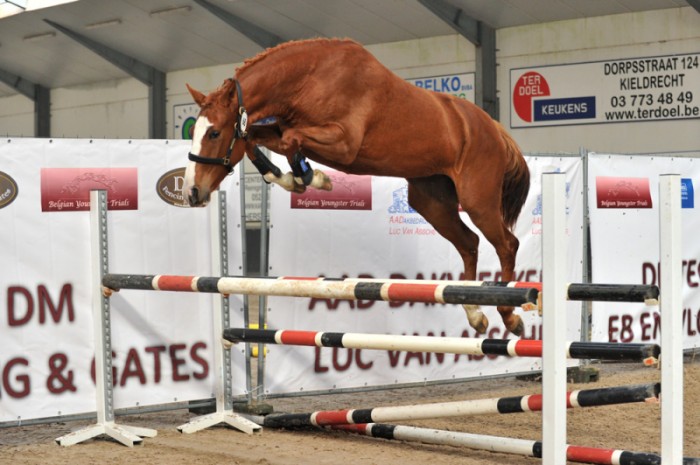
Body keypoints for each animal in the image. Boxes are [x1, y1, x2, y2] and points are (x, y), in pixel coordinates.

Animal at [183, 36, 528, 334]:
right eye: (195, 131)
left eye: (214, 133)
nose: (192, 192)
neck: (309, 80)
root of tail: (494, 128)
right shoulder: (281, 129)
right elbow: (256, 140)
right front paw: (294, 178)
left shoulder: (343, 143)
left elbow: (289, 139)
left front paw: (312, 178)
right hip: (432, 202)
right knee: (469, 243)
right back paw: (475, 313)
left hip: (477, 200)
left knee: (507, 244)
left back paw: (510, 316)